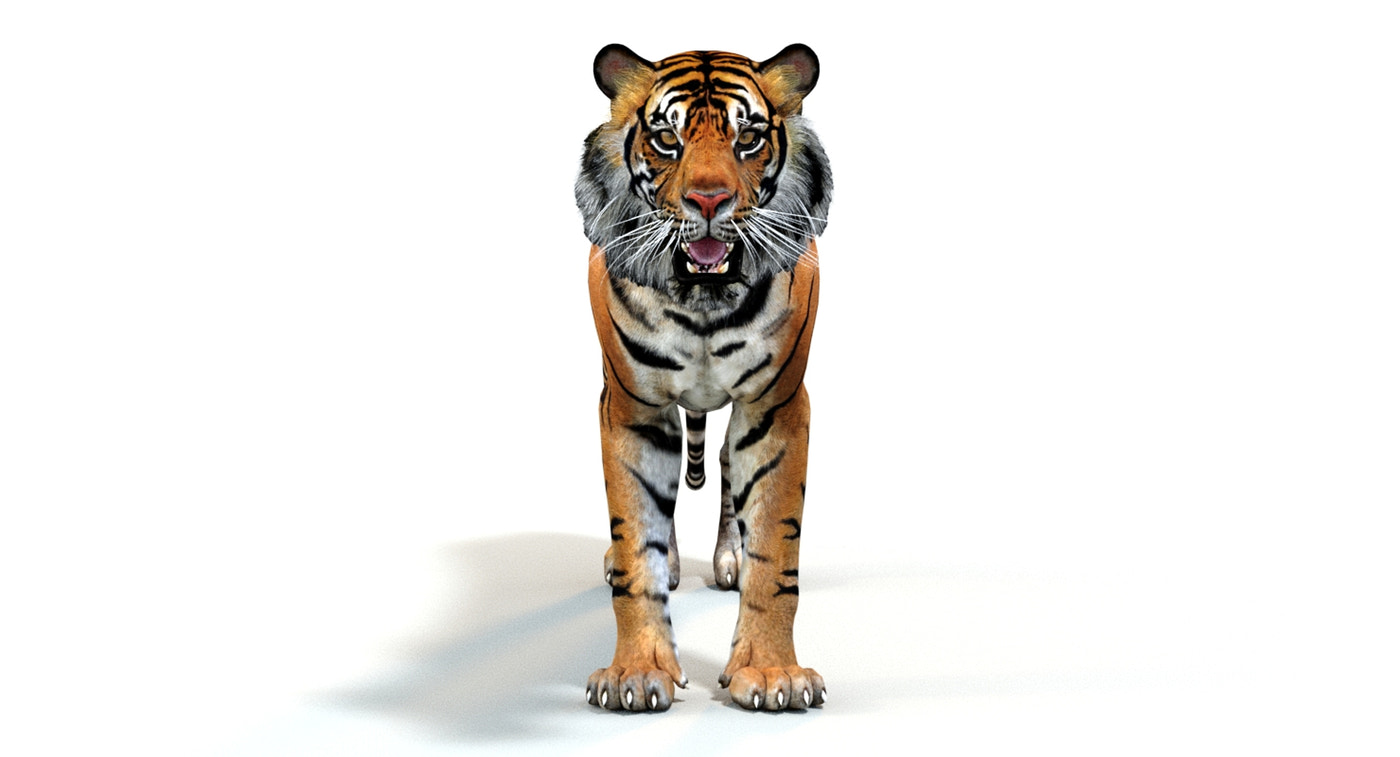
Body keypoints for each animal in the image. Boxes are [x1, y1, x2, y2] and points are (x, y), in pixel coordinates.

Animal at [575, 43, 832, 712]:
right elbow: (636, 541)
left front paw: (770, 673)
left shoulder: (776, 405)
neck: (703, 301)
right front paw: (636, 673)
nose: (710, 201)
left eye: (748, 138)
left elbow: (777, 551)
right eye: (668, 138)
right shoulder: (633, 410)